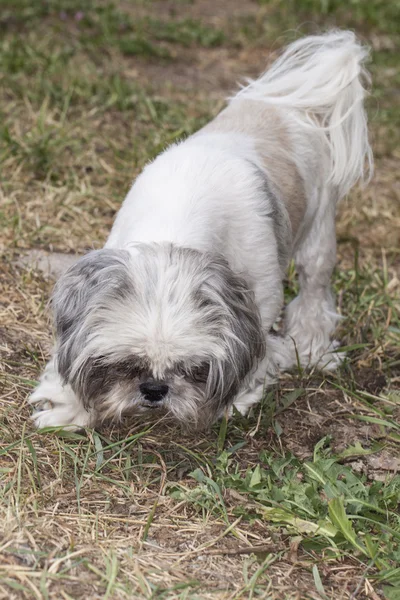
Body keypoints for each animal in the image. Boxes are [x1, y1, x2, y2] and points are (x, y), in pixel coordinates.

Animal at [29, 29, 374, 432]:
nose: (154, 389)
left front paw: (237, 397)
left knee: (314, 291)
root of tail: (294, 106)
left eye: (192, 369)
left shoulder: (258, 296)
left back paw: (310, 347)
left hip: (318, 234)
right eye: (125, 365)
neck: (177, 214)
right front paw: (69, 405)